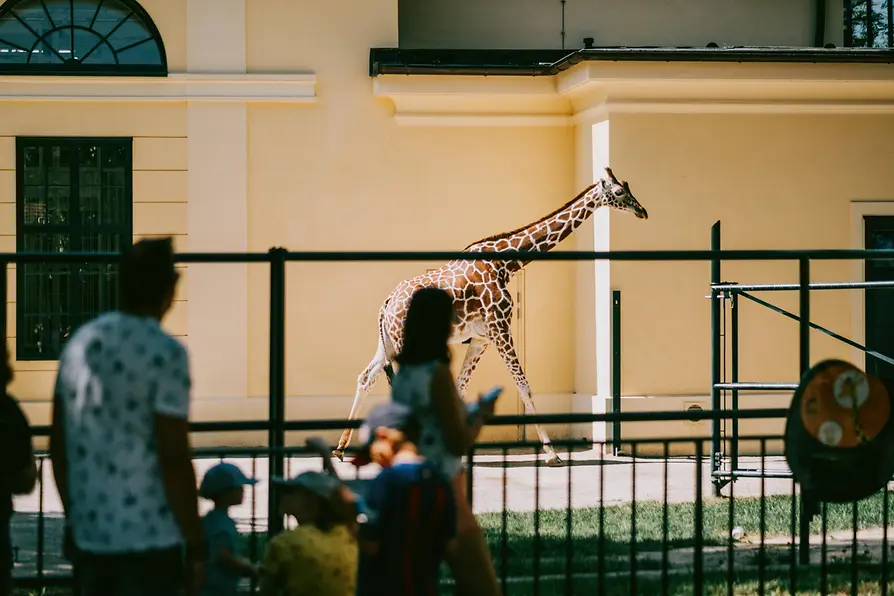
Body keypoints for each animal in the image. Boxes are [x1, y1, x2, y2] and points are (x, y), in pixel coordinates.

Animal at [333, 167, 648, 466]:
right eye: (619, 192)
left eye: (628, 187)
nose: (642, 211)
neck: (506, 263)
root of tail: (386, 304)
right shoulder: (500, 327)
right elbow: (524, 387)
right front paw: (551, 454)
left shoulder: (481, 338)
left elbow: (461, 388)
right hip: (404, 343)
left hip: (388, 342)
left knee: (366, 377)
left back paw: (341, 448)